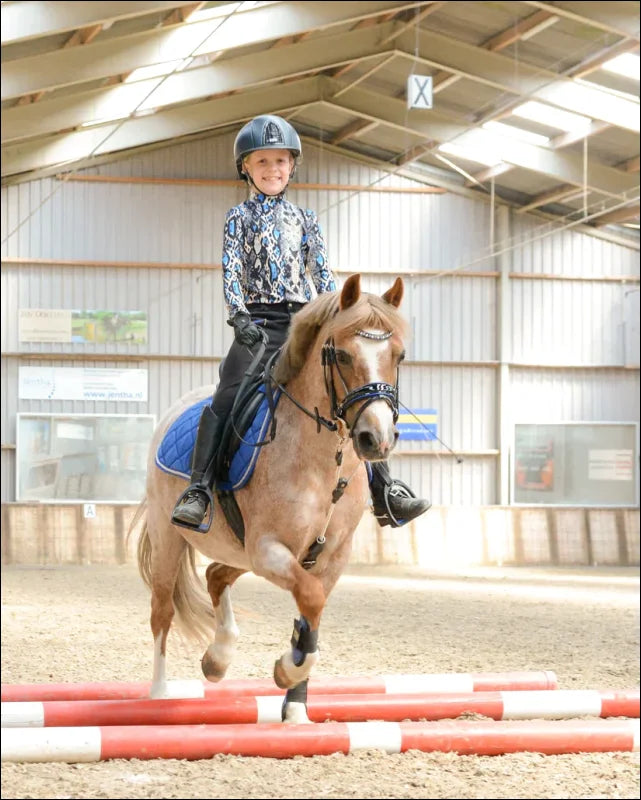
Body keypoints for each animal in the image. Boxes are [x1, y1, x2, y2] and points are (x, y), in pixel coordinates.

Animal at [131, 273, 408, 722]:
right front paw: (286, 668)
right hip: (169, 534)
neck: (322, 463)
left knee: (216, 575)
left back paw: (218, 659)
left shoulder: (330, 556)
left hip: (239, 549)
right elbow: (310, 600)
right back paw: (159, 693)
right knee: (162, 610)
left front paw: (295, 704)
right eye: (342, 355)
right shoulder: (268, 548)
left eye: (399, 355)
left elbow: (313, 615)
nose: (376, 439)